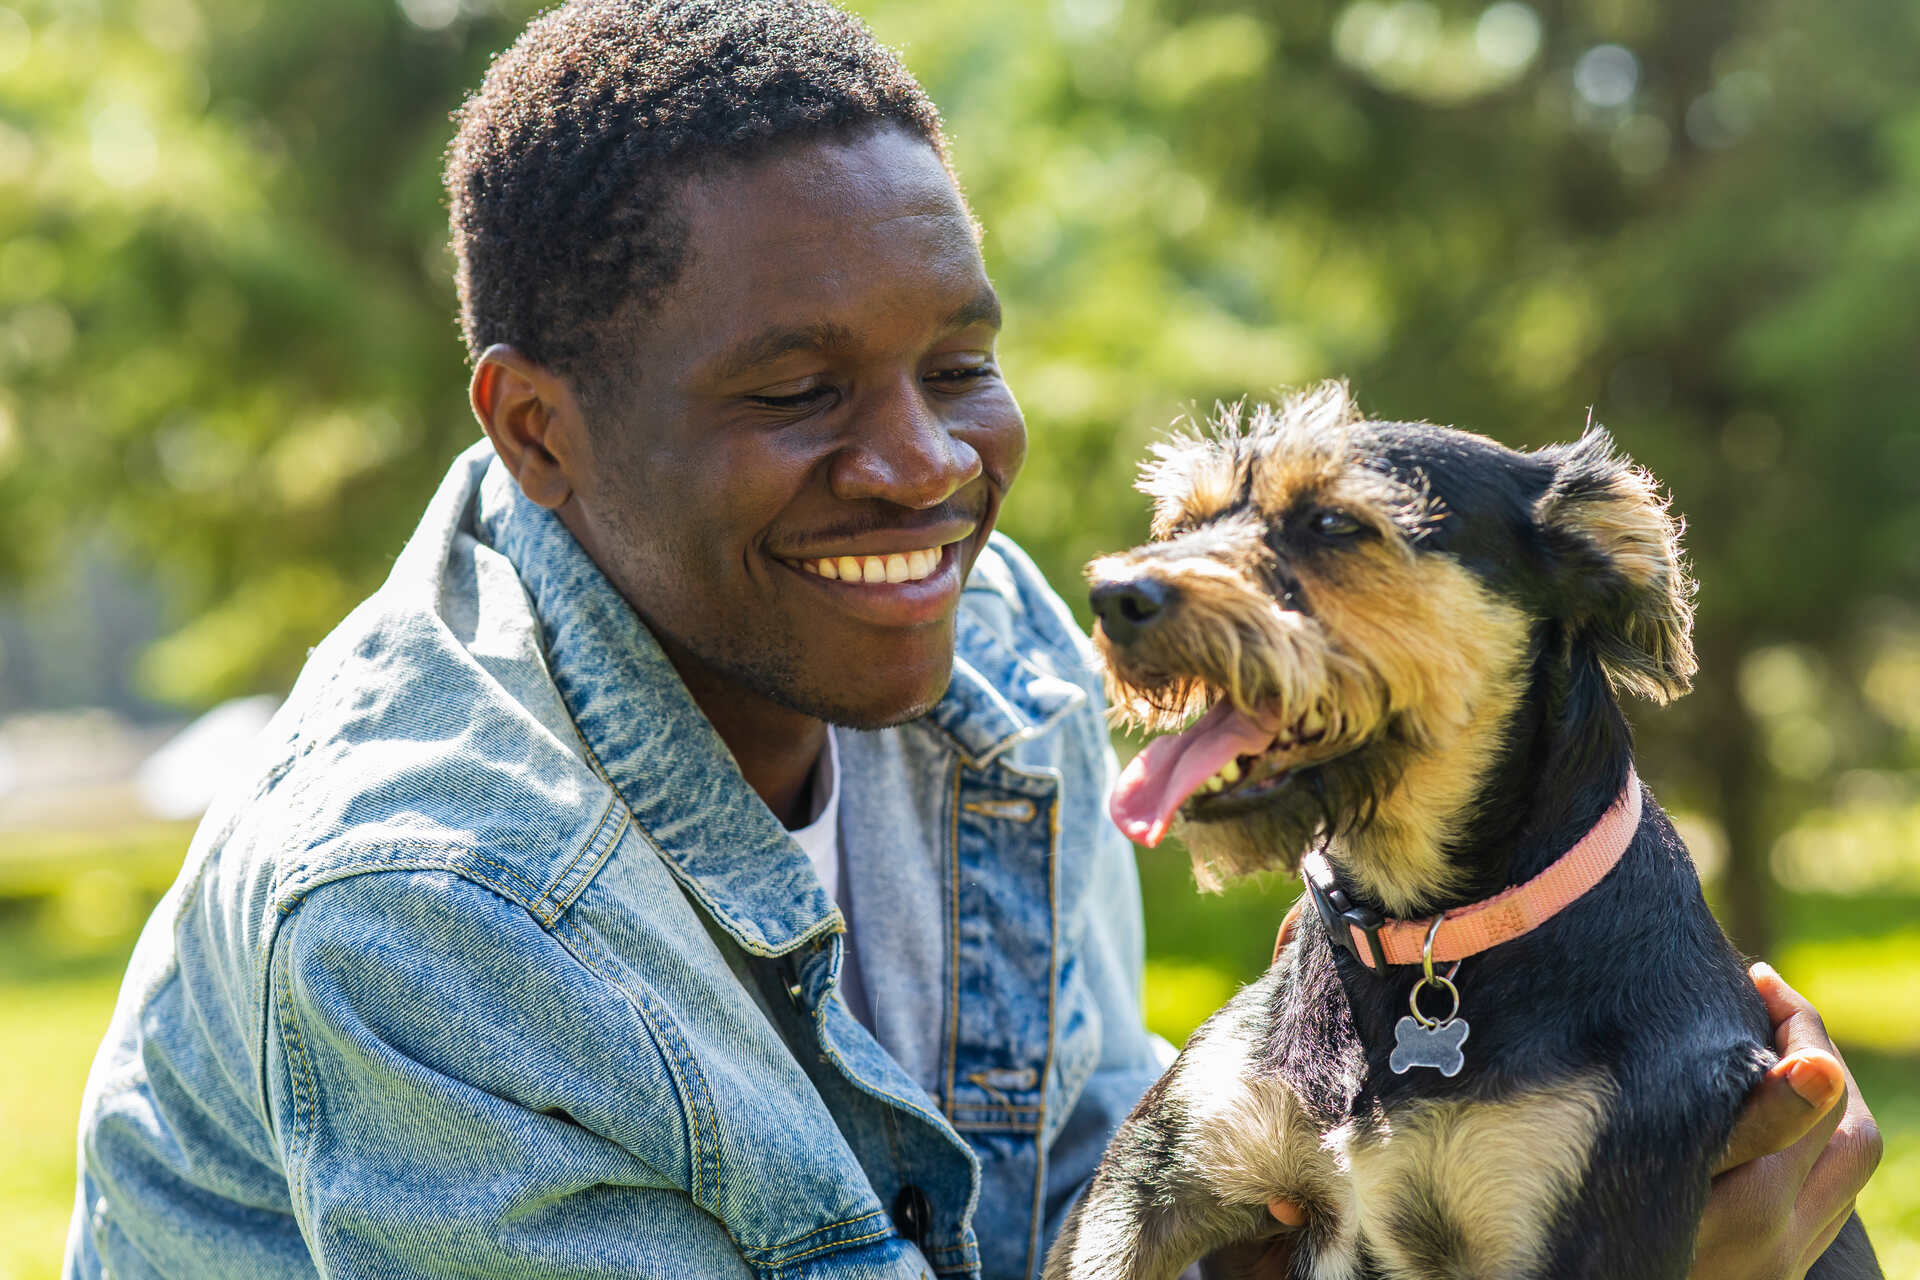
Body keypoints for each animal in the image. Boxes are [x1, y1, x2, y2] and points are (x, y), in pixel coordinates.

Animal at [1052, 387, 1873, 1280]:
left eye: (1333, 523)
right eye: (1185, 523)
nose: (1115, 596)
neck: (1422, 936)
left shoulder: (1580, 1211)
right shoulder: (1138, 1195)